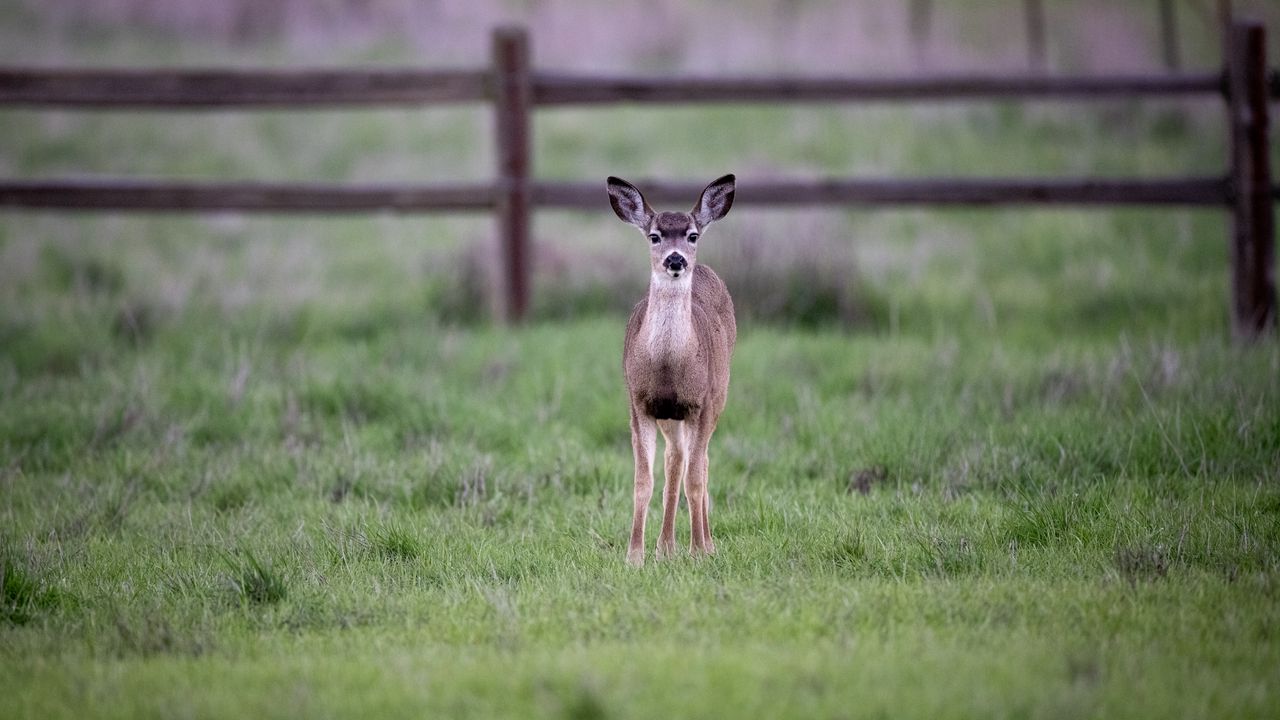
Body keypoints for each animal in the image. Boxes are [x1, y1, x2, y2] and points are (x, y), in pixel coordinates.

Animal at [609, 174, 742, 566]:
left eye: (692, 234)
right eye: (654, 235)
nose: (676, 259)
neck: (668, 366)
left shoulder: (701, 404)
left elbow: (695, 479)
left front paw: (698, 551)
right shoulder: (639, 404)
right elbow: (643, 481)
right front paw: (634, 555)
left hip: (719, 394)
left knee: (700, 464)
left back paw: (703, 543)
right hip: (670, 416)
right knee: (674, 461)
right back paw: (665, 546)